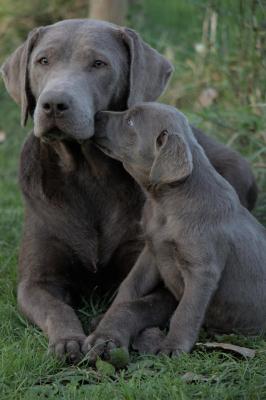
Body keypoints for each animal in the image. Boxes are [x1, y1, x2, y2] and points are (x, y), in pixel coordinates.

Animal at [84, 102, 266, 360]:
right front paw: (105, 321)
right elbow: (129, 286)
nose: (97, 114)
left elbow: (186, 312)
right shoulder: (151, 252)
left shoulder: (202, 271)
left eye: (130, 122)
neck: (166, 205)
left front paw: (173, 346)